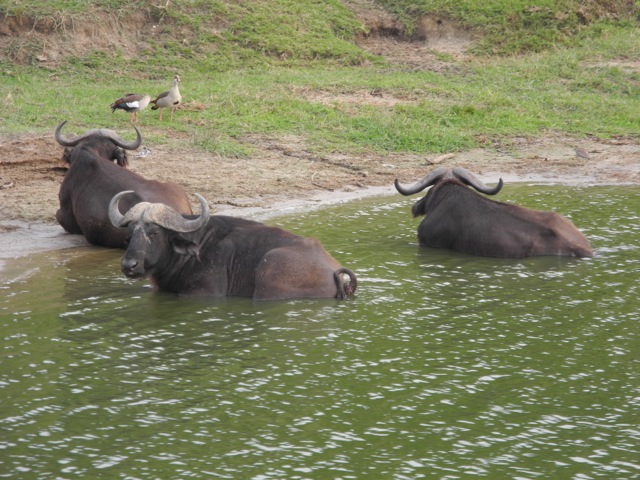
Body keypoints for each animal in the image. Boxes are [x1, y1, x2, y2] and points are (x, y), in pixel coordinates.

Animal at [107, 191, 358, 300]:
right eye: (131, 232)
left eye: (154, 231)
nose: (129, 265)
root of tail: (333, 271)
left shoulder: (204, 292)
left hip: (270, 271)